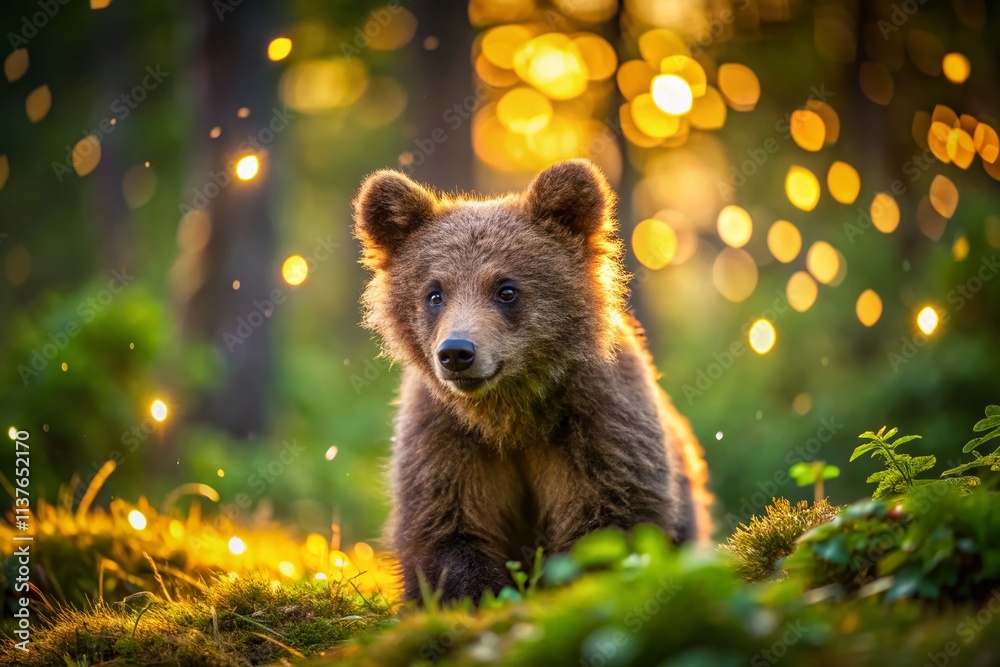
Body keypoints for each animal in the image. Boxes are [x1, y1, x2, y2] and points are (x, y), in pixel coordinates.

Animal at [353, 159, 712, 603]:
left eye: (506, 289)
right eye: (434, 293)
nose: (456, 352)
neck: (511, 416)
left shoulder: (599, 425)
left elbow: (610, 522)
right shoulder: (446, 436)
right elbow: (446, 527)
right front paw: (476, 593)